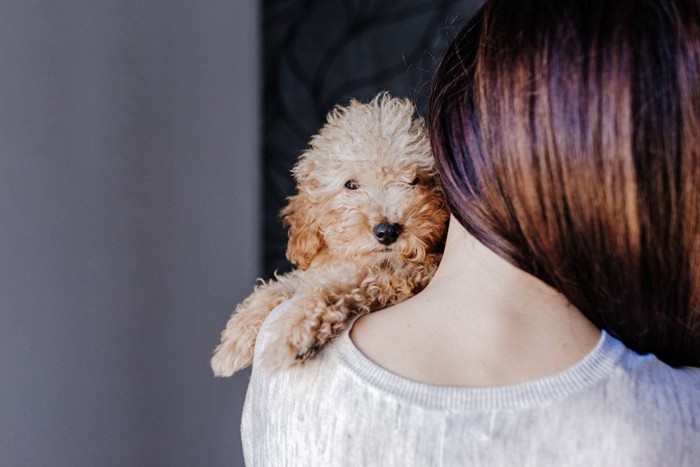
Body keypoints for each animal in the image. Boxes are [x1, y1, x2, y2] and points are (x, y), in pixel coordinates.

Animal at [209, 92, 448, 376]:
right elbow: (285, 284)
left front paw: (292, 332)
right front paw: (235, 341)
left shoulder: (407, 274)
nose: (387, 231)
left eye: (414, 181)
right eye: (351, 185)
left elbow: (338, 283)